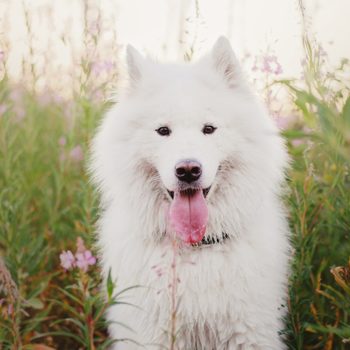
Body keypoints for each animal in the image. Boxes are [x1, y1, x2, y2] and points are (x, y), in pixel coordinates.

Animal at [90, 37, 290, 348]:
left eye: (209, 129)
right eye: (163, 130)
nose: (187, 170)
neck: (194, 248)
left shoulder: (250, 332)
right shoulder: (151, 335)